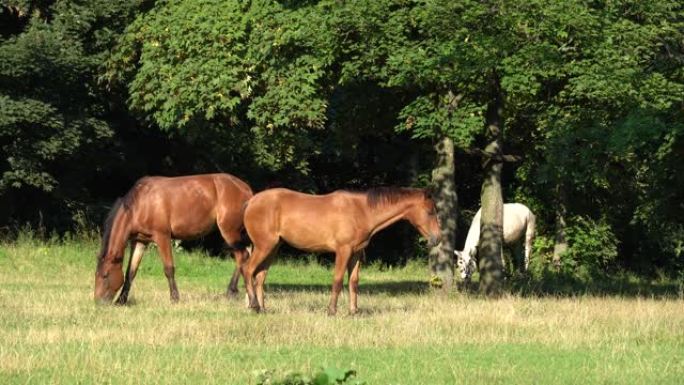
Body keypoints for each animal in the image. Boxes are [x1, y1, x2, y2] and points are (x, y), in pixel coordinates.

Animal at [93, 173, 254, 304]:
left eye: (105, 275)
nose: (98, 302)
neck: (140, 203)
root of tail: (246, 190)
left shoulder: (162, 237)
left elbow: (168, 268)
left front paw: (174, 298)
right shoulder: (140, 241)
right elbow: (130, 272)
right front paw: (121, 300)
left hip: (229, 231)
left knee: (242, 256)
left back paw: (232, 291)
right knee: (246, 255)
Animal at [243, 186, 440, 316]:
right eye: (430, 212)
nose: (437, 238)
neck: (361, 211)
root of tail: (251, 201)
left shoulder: (356, 253)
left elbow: (353, 282)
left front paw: (354, 311)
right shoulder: (343, 251)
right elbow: (337, 280)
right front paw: (332, 310)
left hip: (273, 248)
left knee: (259, 277)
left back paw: (262, 309)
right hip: (264, 246)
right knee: (248, 270)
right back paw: (253, 305)